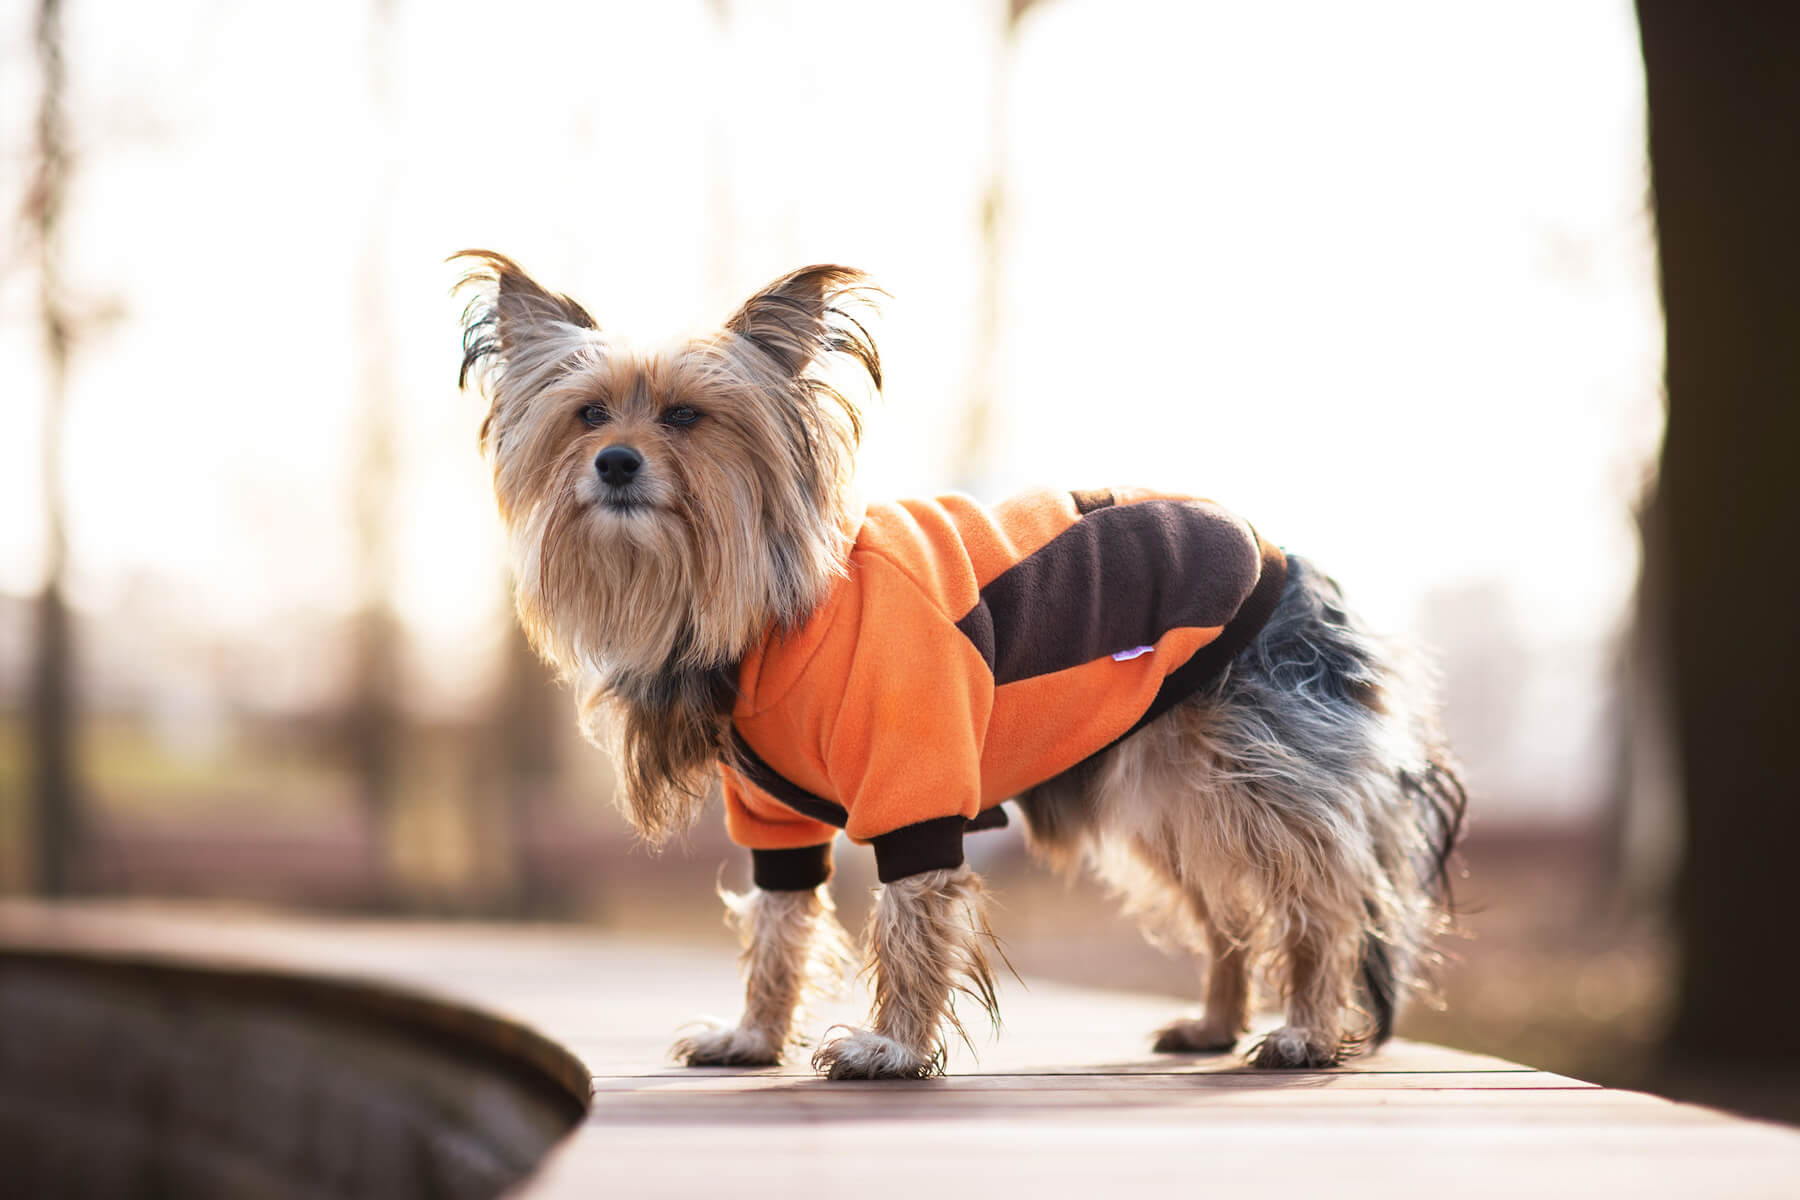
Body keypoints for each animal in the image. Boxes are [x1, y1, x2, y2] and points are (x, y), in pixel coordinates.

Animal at [450, 253, 1461, 1079]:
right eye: (587, 414)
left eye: (686, 417)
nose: (616, 462)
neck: (774, 611)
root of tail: (1301, 569)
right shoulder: (774, 813)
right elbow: (779, 924)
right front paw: (754, 1036)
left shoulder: (917, 776)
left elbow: (909, 918)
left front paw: (891, 1048)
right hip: (1176, 798)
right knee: (1228, 911)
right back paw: (1214, 1024)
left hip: (1249, 780)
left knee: (1321, 901)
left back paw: (1306, 1031)